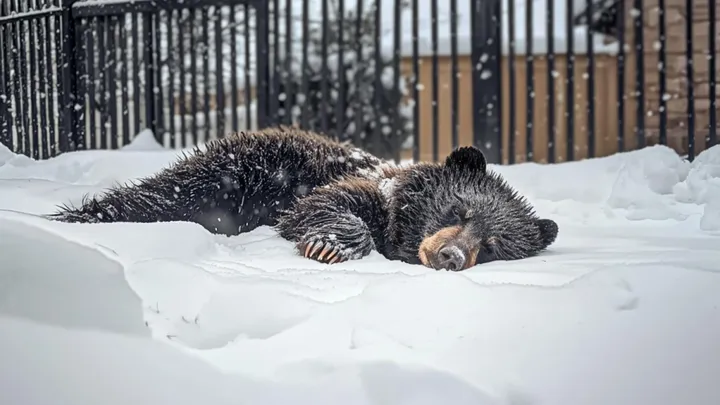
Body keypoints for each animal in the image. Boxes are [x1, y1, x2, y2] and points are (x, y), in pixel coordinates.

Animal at [48, 127, 558, 271]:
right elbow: (320, 207)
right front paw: (331, 245)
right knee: (162, 195)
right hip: (242, 169)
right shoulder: (352, 185)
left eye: (491, 246)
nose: (451, 255)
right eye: (458, 209)